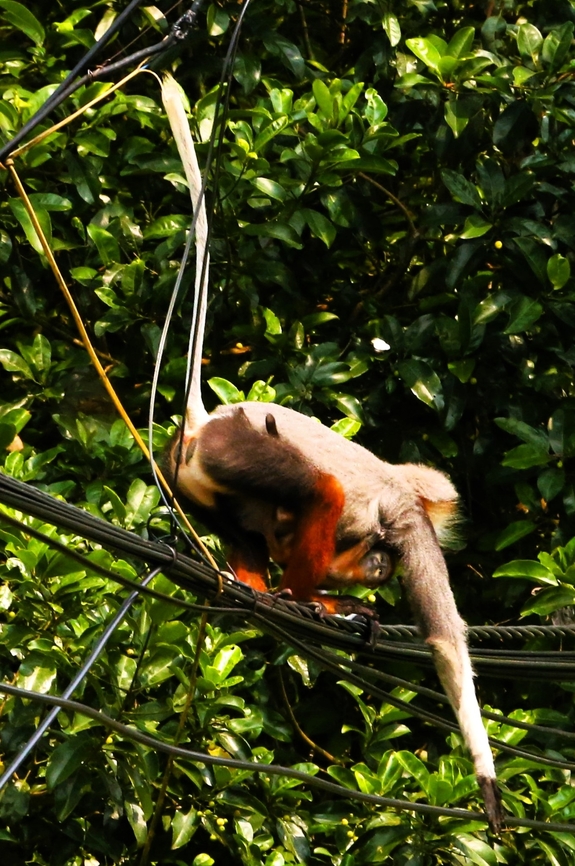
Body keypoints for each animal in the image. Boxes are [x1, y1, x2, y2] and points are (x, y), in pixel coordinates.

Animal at [160, 75, 504, 834]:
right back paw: (302, 596)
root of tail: (204, 424)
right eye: (439, 518)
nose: (378, 568)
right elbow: (445, 641)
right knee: (318, 490)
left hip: (206, 481)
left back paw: (267, 590)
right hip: (236, 452)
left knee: (263, 521)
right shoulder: (408, 518)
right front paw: (486, 776)